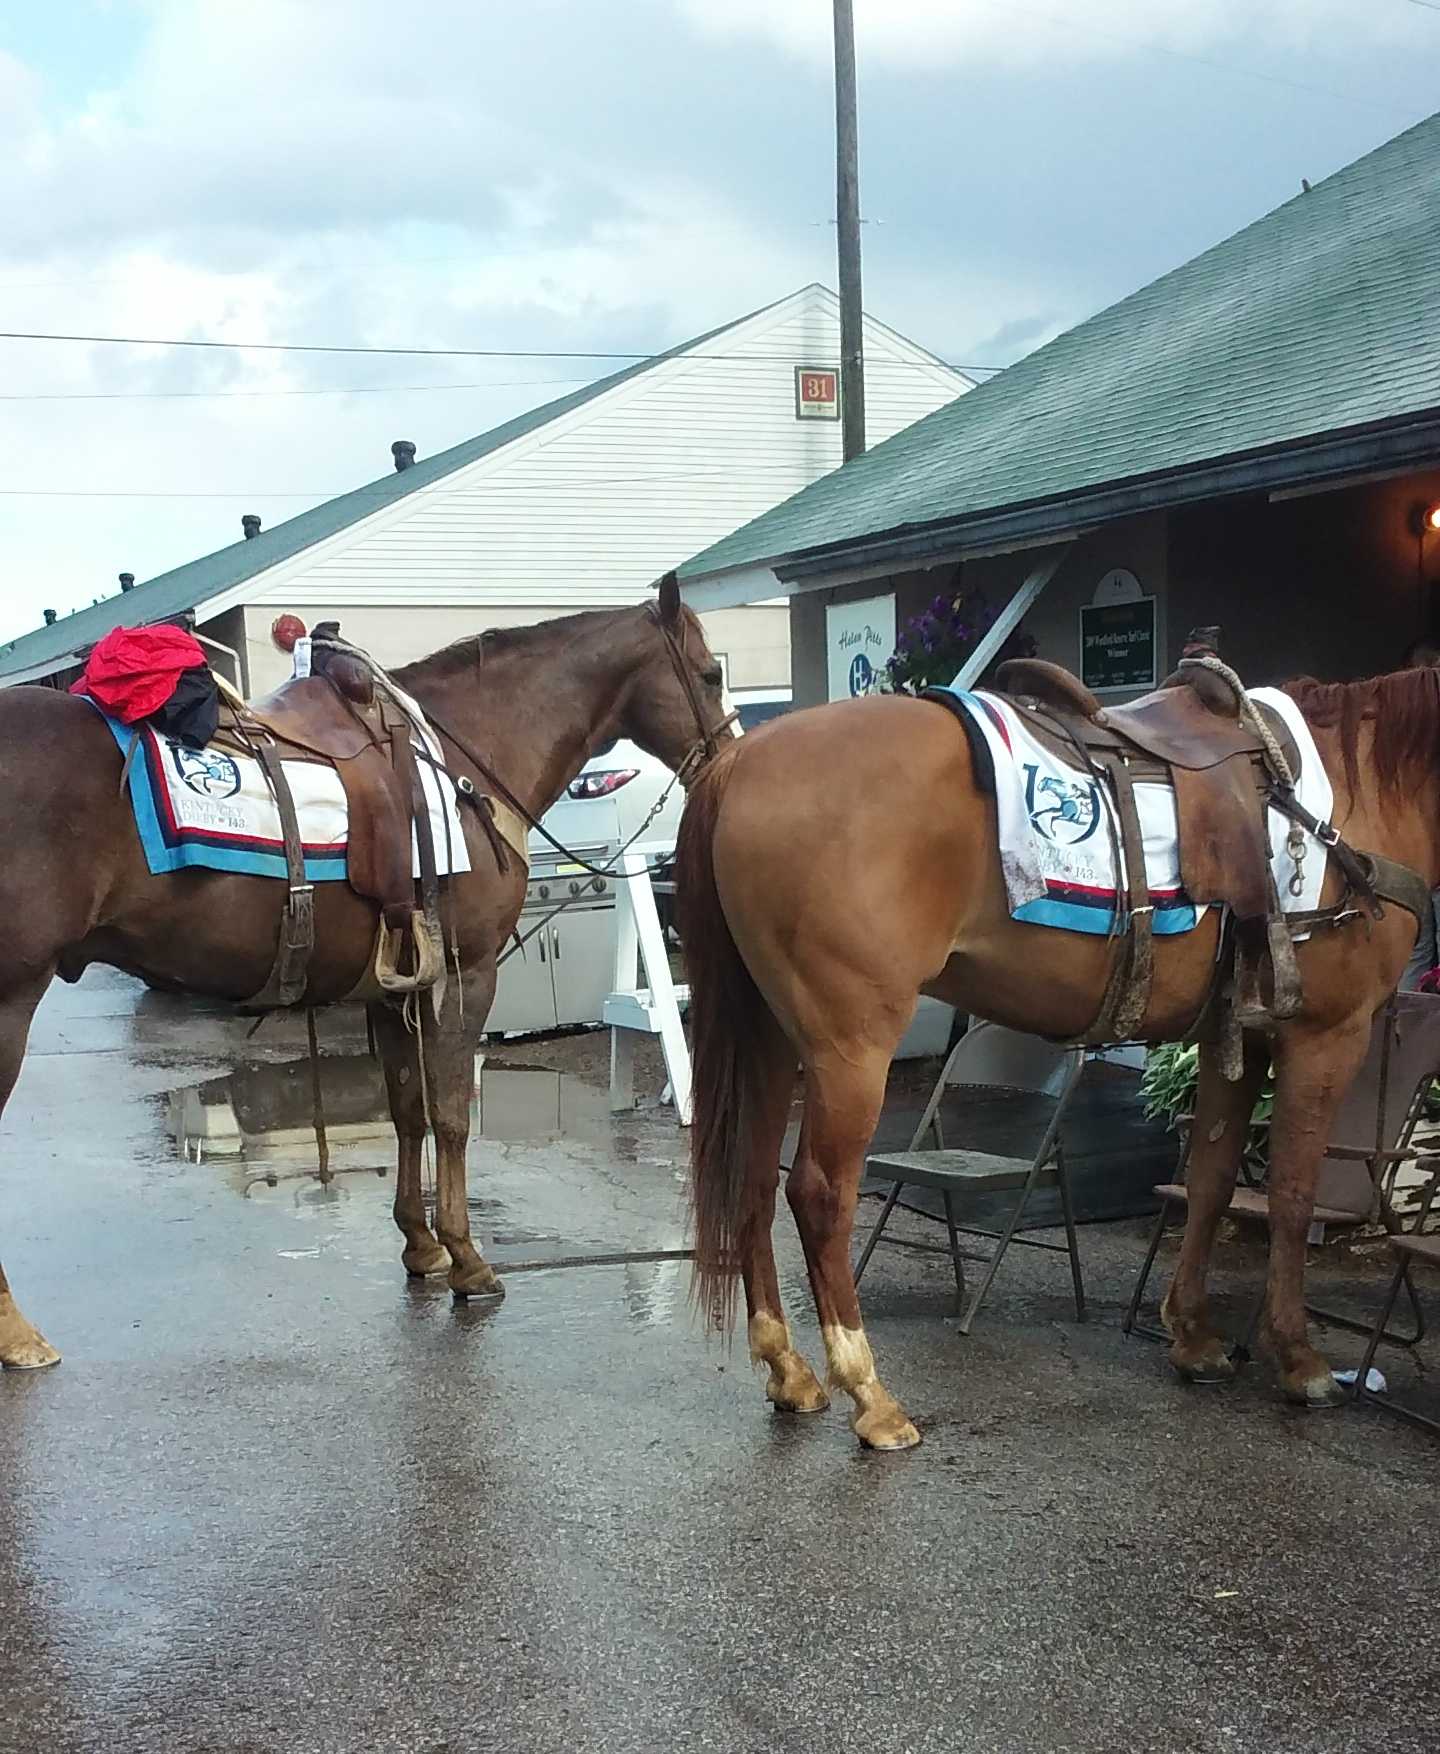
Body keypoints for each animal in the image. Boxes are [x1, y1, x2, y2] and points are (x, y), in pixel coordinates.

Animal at [0, 575, 730, 1370]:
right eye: (709, 674)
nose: (726, 764)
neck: (466, 756)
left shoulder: (392, 986)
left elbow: (407, 1110)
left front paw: (420, 1246)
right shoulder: (467, 977)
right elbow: (451, 1116)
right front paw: (467, 1258)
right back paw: (19, 1335)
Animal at [675, 666, 1440, 1449]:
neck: (1354, 793)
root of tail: (739, 760)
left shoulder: (1238, 1034)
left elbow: (1212, 1181)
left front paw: (1194, 1336)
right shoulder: (1326, 1034)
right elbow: (1290, 1194)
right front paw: (1298, 1357)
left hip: (769, 1035)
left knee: (753, 1179)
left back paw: (789, 1371)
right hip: (848, 1047)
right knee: (819, 1195)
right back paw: (870, 1394)